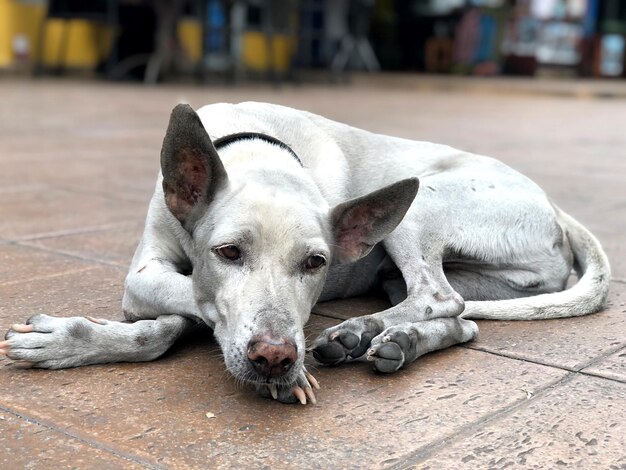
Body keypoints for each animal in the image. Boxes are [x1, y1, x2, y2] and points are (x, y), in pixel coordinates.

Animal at [1, 103, 604, 404]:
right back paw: (385, 338)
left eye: (316, 264)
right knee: (461, 318)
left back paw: (365, 332)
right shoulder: (147, 272)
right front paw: (77, 340)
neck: (257, 148)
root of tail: (554, 207)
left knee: (439, 296)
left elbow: (196, 313)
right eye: (228, 252)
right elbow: (180, 315)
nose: (275, 358)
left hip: (424, 205)